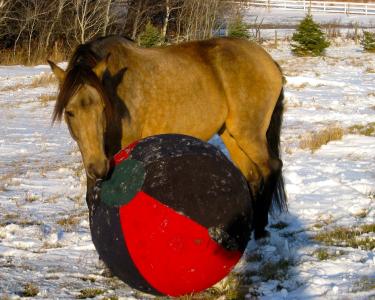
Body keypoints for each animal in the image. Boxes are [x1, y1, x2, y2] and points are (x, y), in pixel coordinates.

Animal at [47, 35, 288, 239]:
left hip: (248, 133)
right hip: (231, 134)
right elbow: (92, 197)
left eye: (103, 108)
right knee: (253, 176)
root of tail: (270, 62)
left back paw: (260, 230)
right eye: (69, 112)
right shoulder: (94, 154)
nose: (99, 168)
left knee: (272, 167)